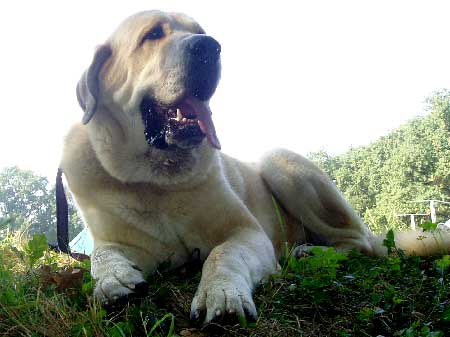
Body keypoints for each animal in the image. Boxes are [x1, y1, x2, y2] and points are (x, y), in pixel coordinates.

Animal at [60, 9, 450, 322]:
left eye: (199, 29)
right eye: (153, 35)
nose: (210, 46)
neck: (155, 181)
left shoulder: (247, 233)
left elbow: (223, 253)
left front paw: (221, 294)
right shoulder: (117, 240)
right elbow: (102, 255)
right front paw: (113, 279)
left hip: (279, 163)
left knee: (362, 244)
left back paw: (311, 253)